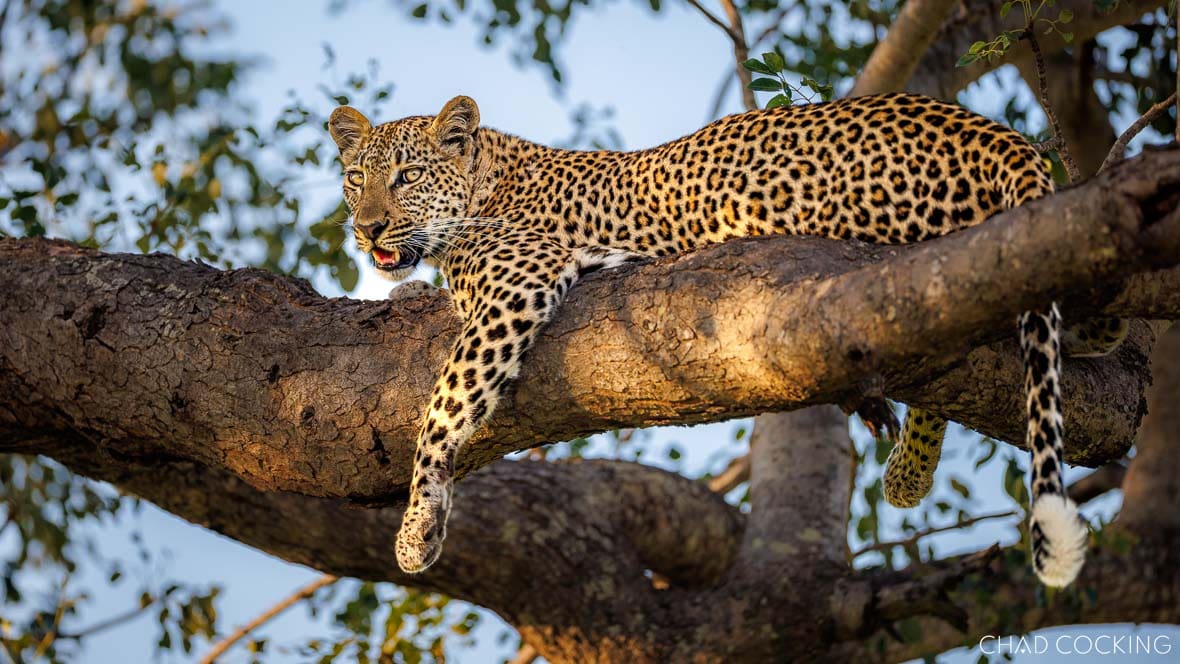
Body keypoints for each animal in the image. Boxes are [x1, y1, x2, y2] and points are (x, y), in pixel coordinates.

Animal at [327, 92, 1127, 586]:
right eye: (356, 178)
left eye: (406, 177)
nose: (367, 228)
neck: (488, 176)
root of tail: (993, 131)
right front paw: (403, 291)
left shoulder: (518, 280)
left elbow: (443, 405)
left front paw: (416, 525)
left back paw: (903, 464)